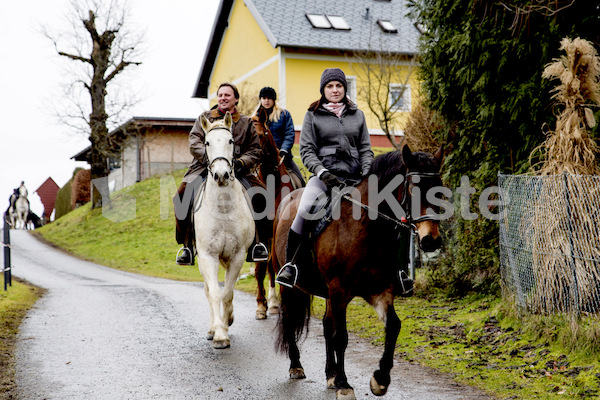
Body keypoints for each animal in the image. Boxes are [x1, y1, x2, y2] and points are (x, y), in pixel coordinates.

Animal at [195, 111, 255, 348]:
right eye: (207, 143)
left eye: (230, 141)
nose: (220, 175)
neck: (222, 208)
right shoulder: (208, 256)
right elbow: (214, 293)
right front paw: (219, 334)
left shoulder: (237, 256)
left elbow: (227, 293)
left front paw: (227, 321)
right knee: (207, 290)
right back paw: (213, 328)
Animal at [251, 108, 304, 318]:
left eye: (260, 135)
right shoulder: (262, 232)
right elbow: (260, 267)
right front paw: (260, 305)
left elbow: (272, 264)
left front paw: (273, 303)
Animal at [274, 145, 442, 400]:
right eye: (414, 188)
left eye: (440, 189)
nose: (431, 240)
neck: (368, 229)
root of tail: (289, 197)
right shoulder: (339, 290)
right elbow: (341, 337)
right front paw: (345, 384)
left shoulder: (380, 290)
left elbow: (393, 326)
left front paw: (380, 379)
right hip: (290, 286)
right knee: (290, 317)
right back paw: (297, 366)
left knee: (326, 324)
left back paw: (330, 374)